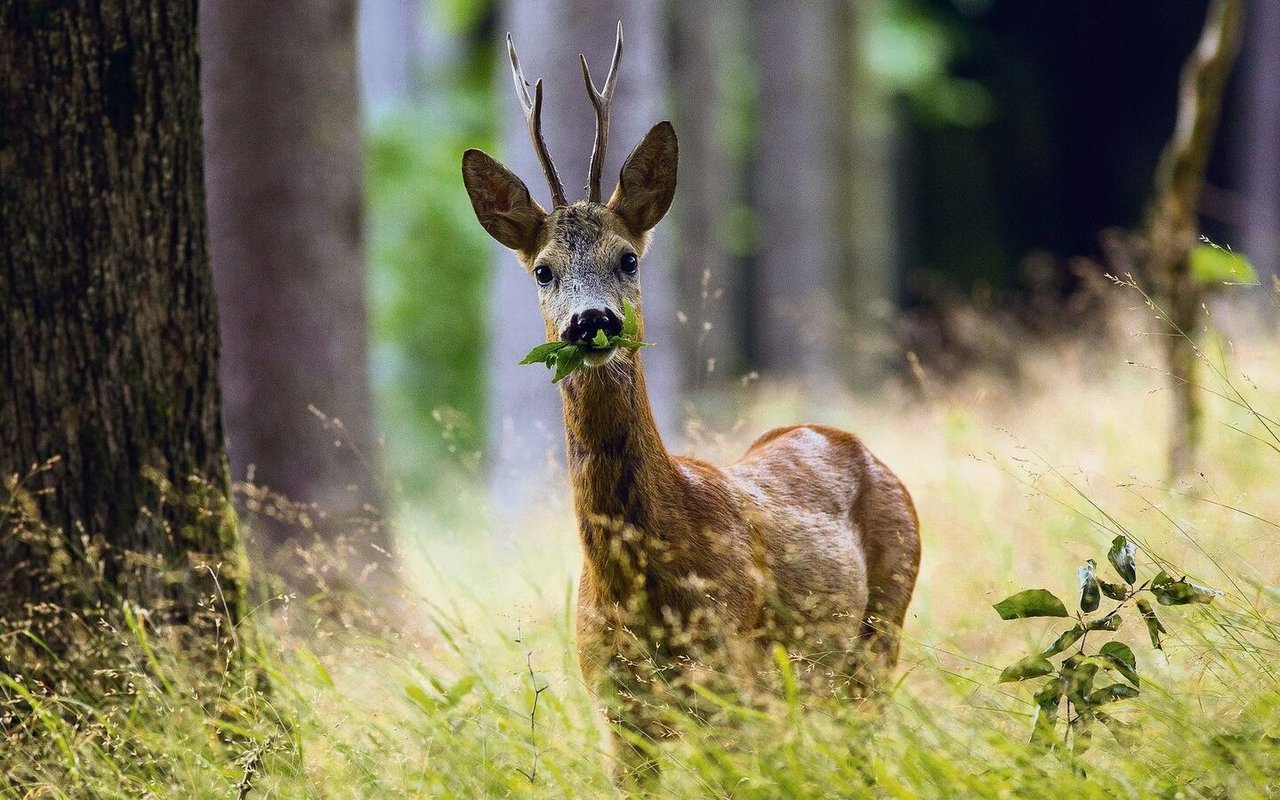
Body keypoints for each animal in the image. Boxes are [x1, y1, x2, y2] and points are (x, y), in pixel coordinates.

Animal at [460, 26, 921, 778]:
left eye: (628, 258)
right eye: (543, 269)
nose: (592, 322)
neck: (639, 585)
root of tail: (854, 441)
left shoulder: (731, 685)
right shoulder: (617, 710)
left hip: (882, 627)